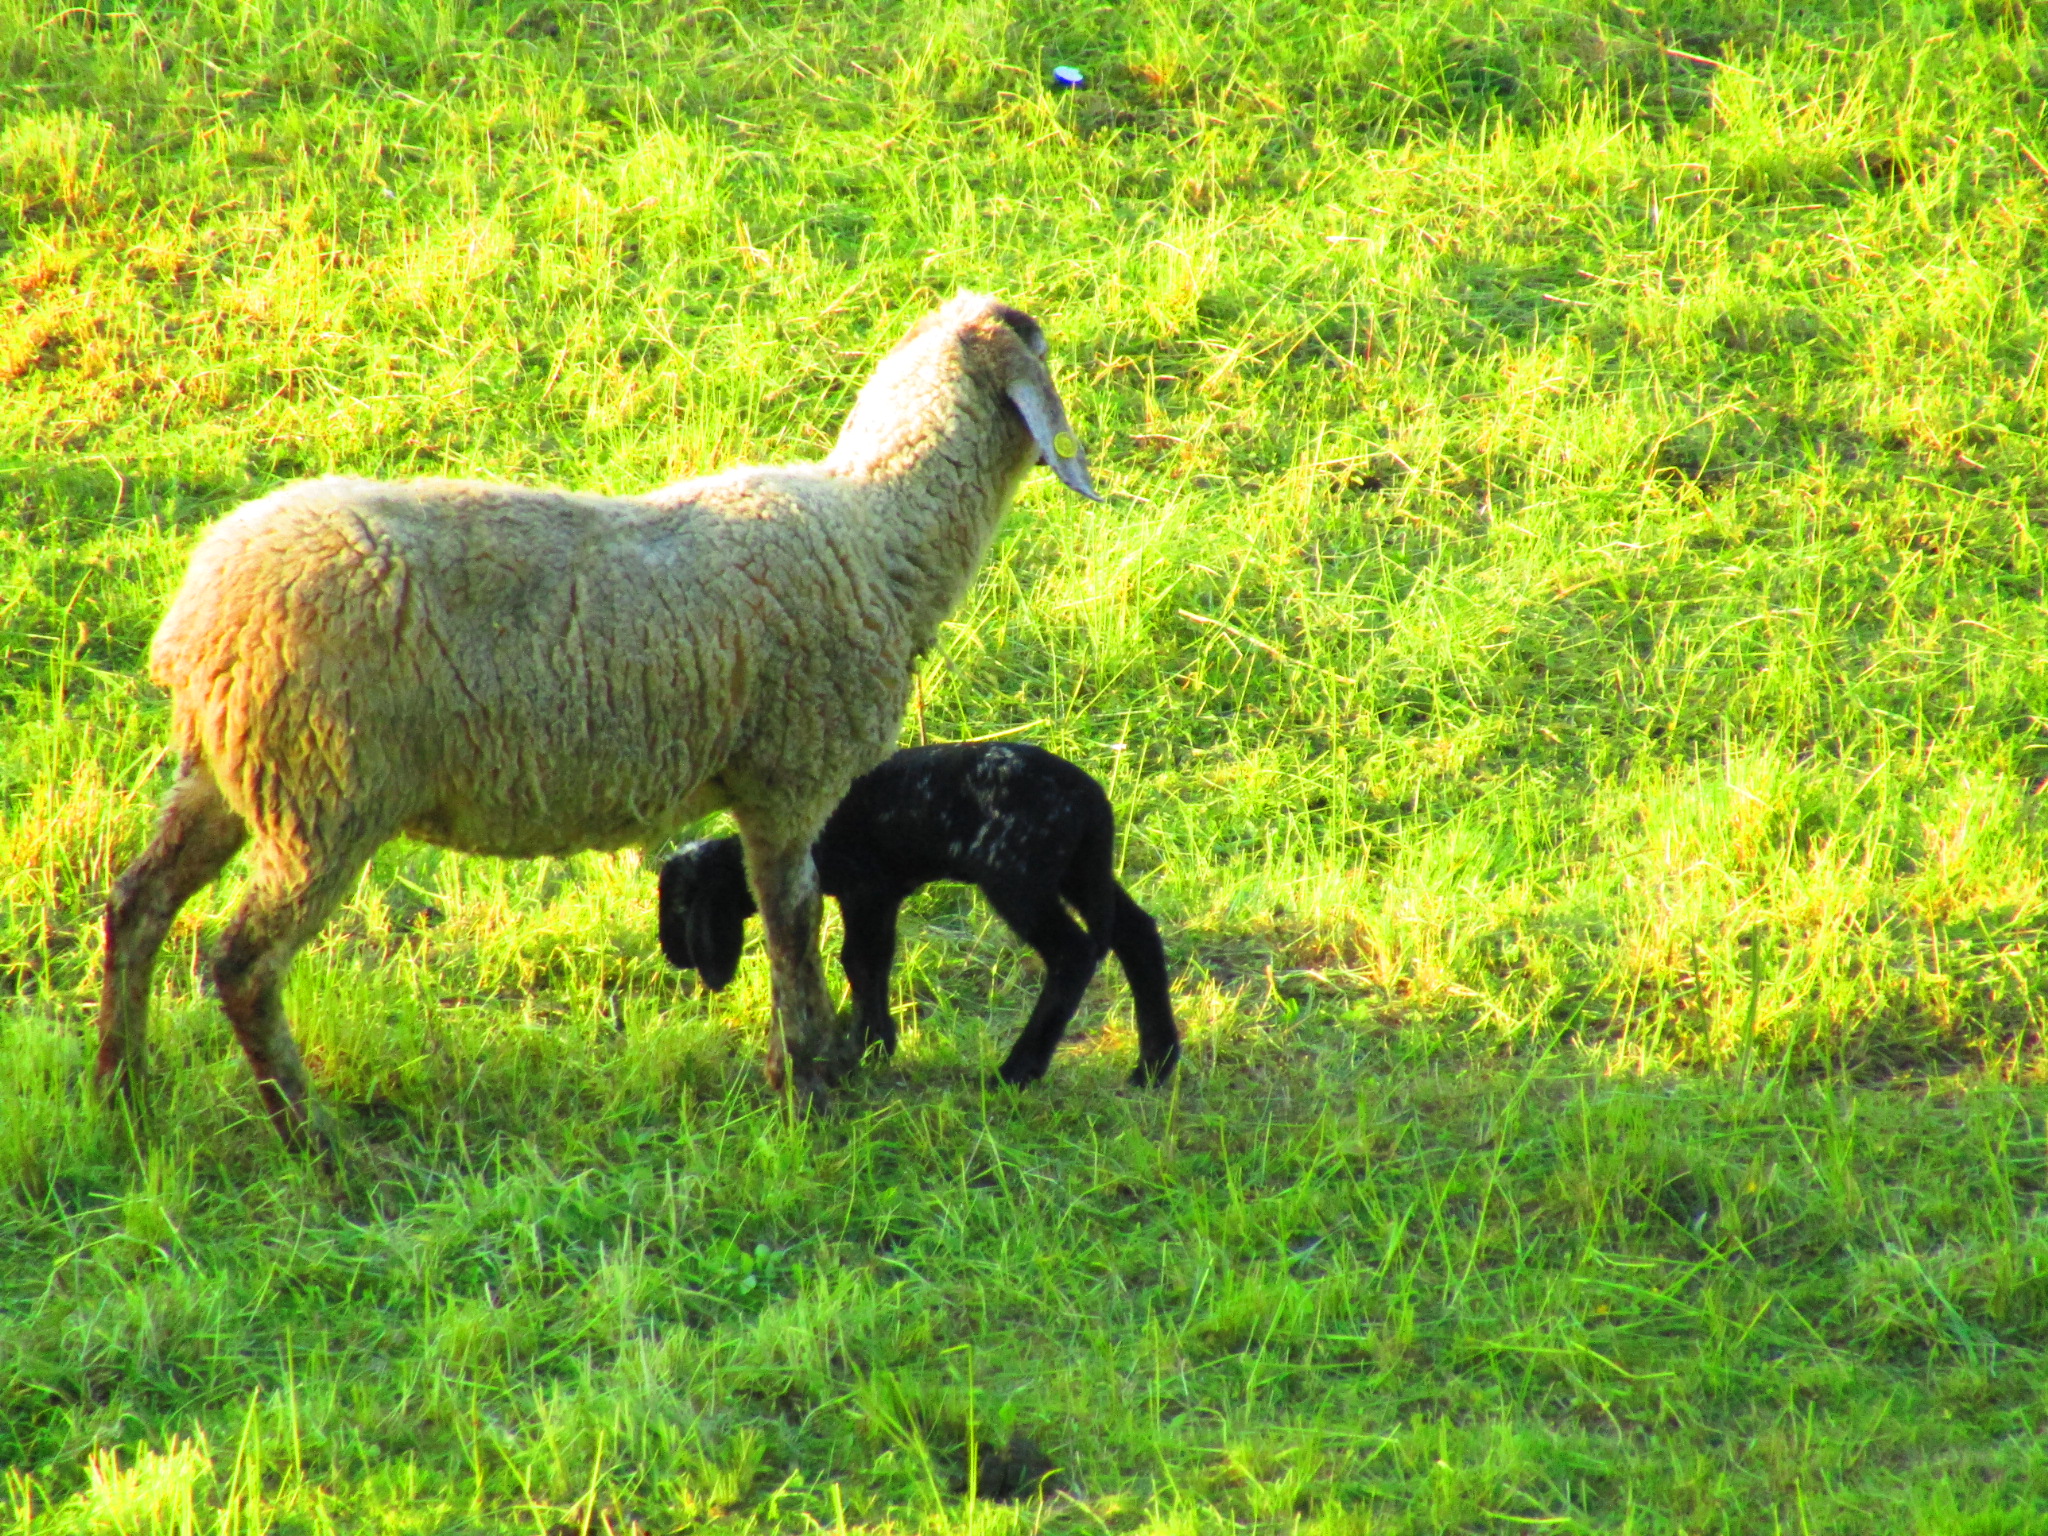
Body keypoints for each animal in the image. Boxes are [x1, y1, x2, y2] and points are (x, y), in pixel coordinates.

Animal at [96, 290, 1097, 1155]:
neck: (873, 530)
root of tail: (195, 621)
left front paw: (804, 1067)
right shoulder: (789, 779)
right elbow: (795, 920)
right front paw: (806, 1080)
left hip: (228, 776)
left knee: (137, 904)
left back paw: (123, 1092)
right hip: (324, 800)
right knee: (243, 964)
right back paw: (316, 1145)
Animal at [647, 741, 1179, 1089]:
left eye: (676, 903)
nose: (672, 955)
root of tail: (1091, 802)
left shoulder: (866, 887)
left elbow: (859, 959)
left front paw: (865, 1046)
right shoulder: (880, 893)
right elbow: (872, 959)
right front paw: (874, 1042)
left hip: (1019, 878)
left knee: (1075, 952)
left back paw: (1017, 1070)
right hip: (1080, 871)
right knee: (1137, 932)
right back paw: (1155, 1062)